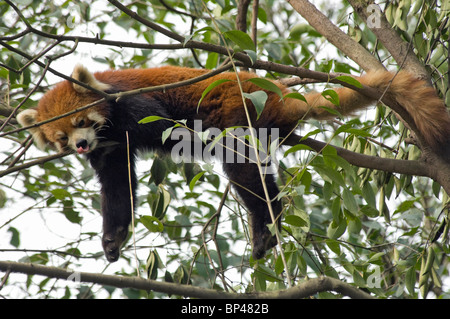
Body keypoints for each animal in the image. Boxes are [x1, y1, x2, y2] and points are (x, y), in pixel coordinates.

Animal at [15, 64, 448, 262]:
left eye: (81, 122)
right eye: (61, 138)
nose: (80, 145)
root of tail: (273, 94)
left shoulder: (133, 104)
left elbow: (162, 126)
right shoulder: (108, 152)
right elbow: (118, 188)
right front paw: (113, 238)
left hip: (236, 110)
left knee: (244, 171)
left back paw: (266, 223)